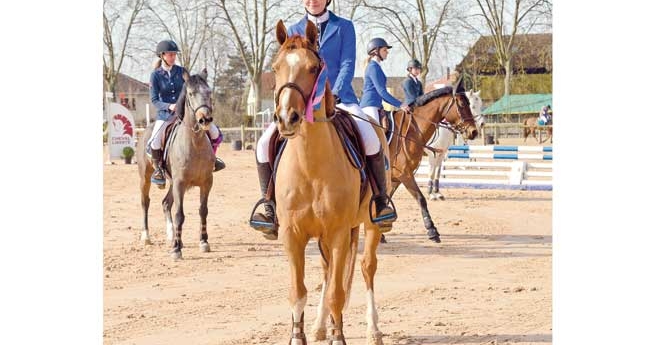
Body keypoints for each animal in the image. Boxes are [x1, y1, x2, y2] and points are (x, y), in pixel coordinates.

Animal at [136, 68, 215, 260]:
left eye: (209, 92)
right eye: (191, 93)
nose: (205, 120)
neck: (195, 143)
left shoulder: (207, 182)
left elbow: (203, 210)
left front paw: (203, 242)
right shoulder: (180, 183)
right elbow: (180, 214)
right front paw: (176, 250)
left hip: (172, 183)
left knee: (166, 203)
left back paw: (172, 236)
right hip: (146, 178)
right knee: (145, 202)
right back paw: (146, 237)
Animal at [270, 19, 386, 344]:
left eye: (313, 68)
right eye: (275, 67)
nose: (287, 118)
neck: (310, 166)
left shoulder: (337, 233)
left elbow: (337, 292)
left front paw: (339, 337)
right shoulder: (293, 235)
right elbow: (298, 292)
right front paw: (299, 336)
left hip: (370, 224)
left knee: (365, 268)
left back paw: (372, 329)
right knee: (325, 272)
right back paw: (322, 326)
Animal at [384, 81, 476, 242]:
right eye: (462, 105)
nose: (474, 131)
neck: (411, 130)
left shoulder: (396, 178)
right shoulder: (405, 174)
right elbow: (421, 198)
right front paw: (432, 230)